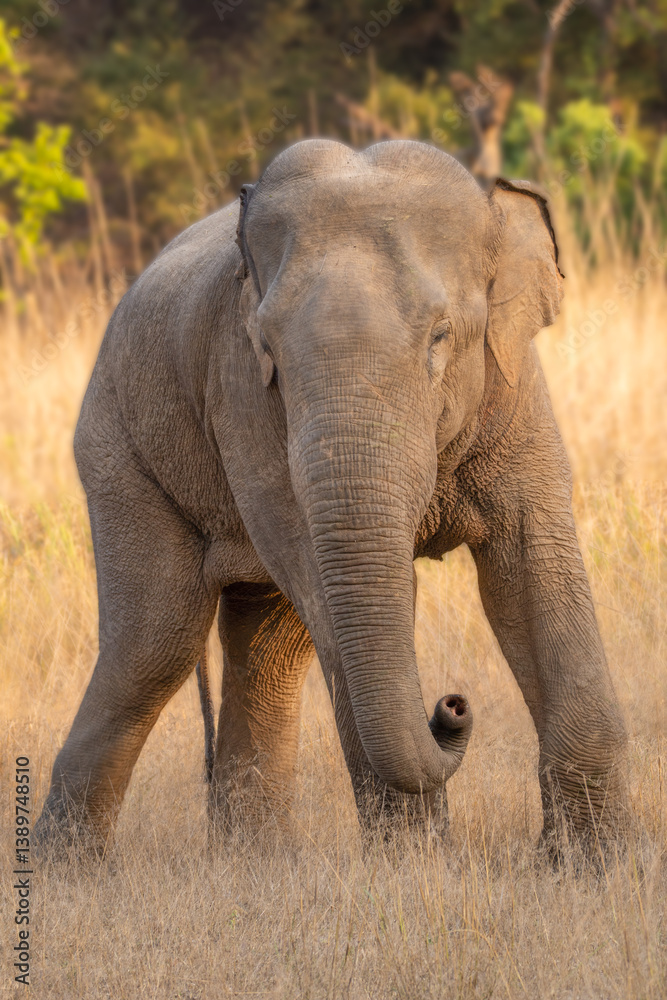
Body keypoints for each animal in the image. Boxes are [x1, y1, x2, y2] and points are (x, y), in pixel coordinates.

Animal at [35, 138, 627, 856]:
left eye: (440, 337)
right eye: (267, 350)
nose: (452, 707)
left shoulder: (512, 390)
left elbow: (530, 566)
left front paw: (593, 866)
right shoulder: (240, 395)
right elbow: (330, 588)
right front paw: (413, 869)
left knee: (266, 641)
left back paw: (255, 865)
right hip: (117, 450)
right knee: (156, 643)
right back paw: (71, 869)